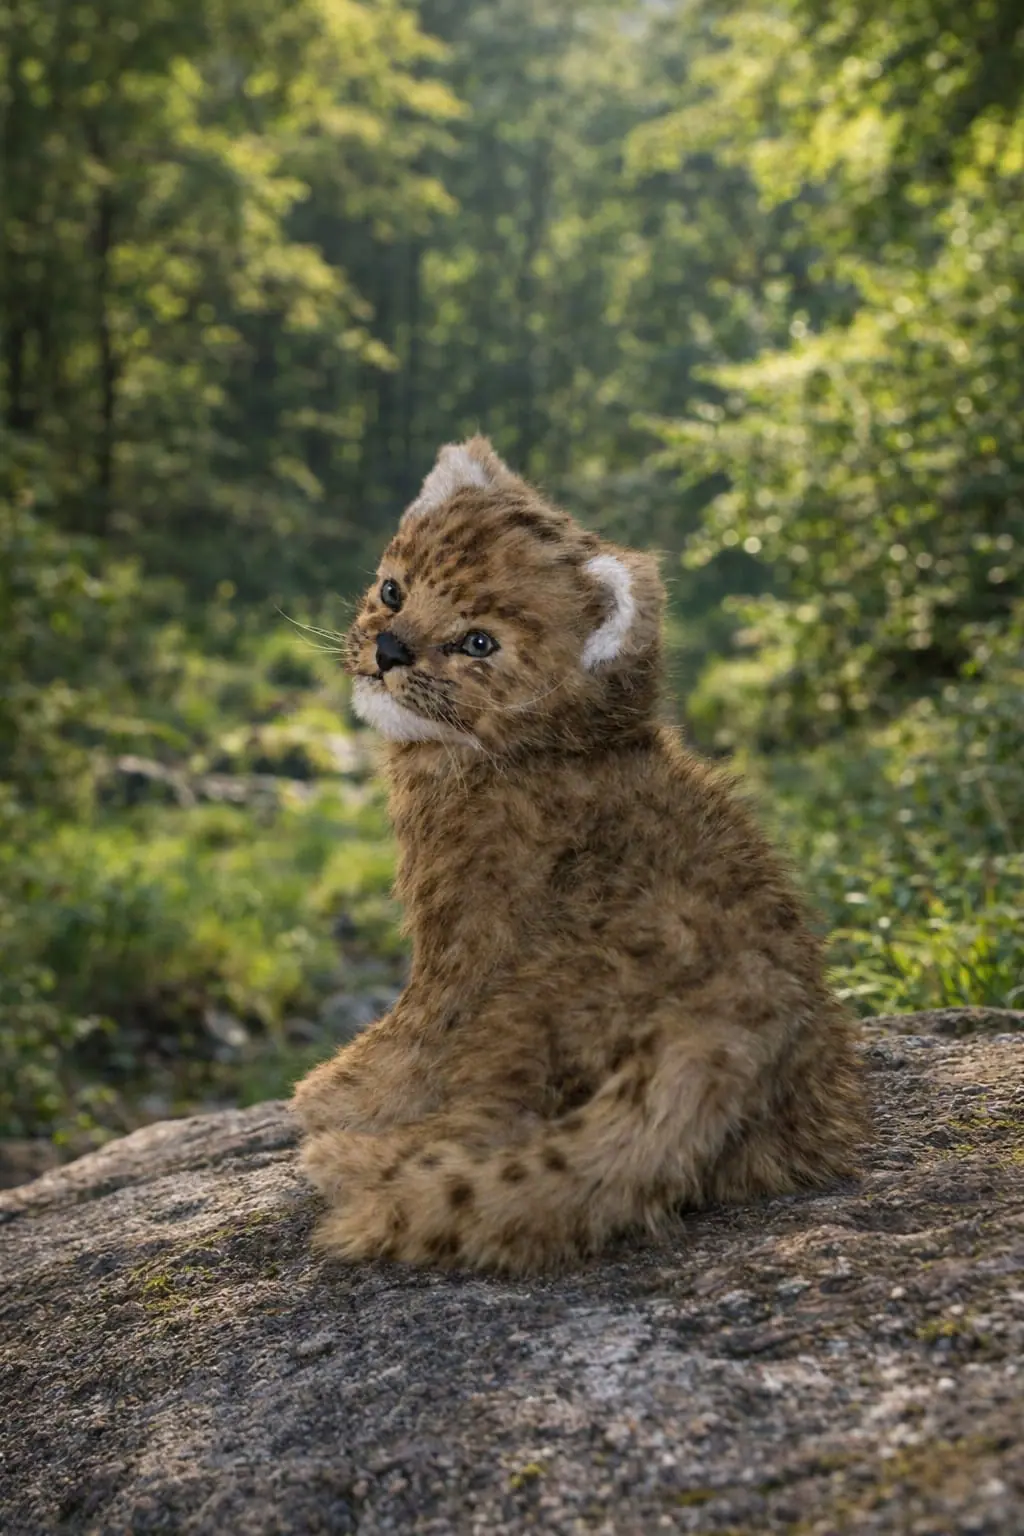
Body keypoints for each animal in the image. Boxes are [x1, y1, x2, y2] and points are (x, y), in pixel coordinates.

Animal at [292, 435, 867, 1273]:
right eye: (393, 589)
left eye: (479, 642)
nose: (389, 649)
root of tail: (743, 1017)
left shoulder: (468, 942)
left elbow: (414, 1029)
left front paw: (338, 1093)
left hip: (534, 1006)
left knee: (490, 1126)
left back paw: (352, 1161)